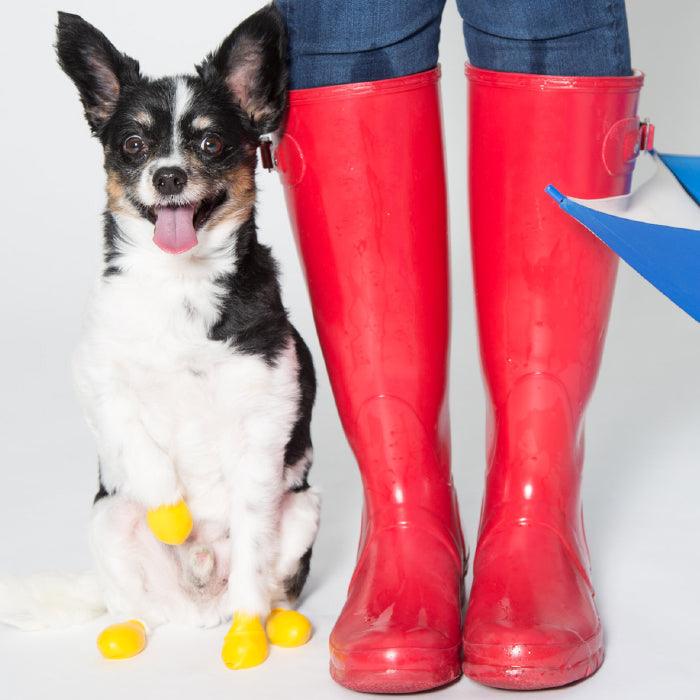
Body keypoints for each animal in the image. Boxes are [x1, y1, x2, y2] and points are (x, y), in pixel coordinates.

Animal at [0, 6, 320, 672]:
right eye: (133, 144)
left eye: (210, 143)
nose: (168, 174)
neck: (180, 285)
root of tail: (196, 607)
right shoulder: (96, 375)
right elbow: (132, 438)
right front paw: (173, 514)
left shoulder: (266, 411)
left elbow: (253, 526)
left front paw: (248, 636)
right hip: (108, 519)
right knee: (133, 604)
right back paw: (125, 629)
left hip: (302, 510)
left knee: (269, 582)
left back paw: (269, 624)